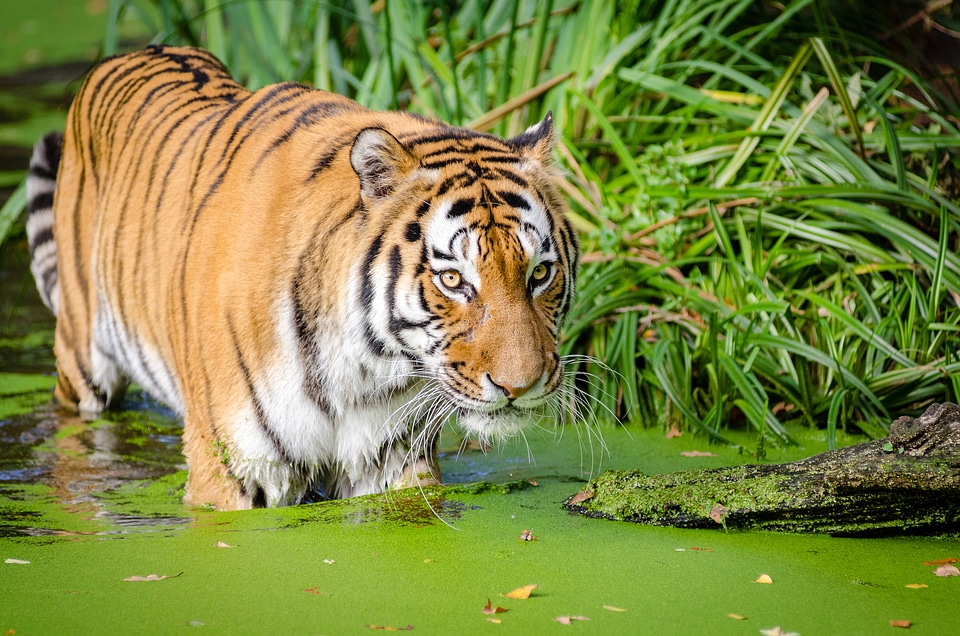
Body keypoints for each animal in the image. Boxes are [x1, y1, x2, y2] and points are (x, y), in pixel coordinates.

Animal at [24, 44, 576, 510]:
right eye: (454, 281)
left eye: (540, 273)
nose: (519, 387)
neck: (366, 370)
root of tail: (130, 53)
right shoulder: (230, 467)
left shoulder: (390, 460)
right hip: (82, 364)